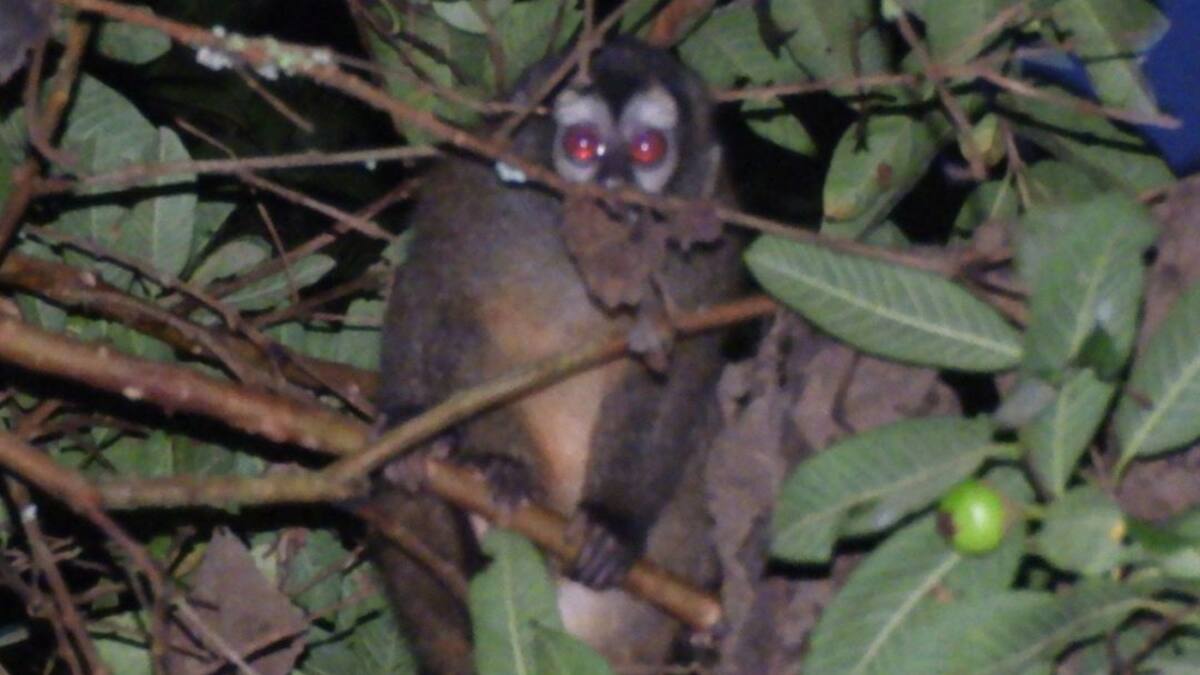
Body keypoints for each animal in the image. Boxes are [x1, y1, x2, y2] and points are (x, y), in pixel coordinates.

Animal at [371, 39, 744, 673]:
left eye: (647, 149)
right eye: (583, 146)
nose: (614, 186)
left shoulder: (709, 242)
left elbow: (680, 371)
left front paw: (613, 524)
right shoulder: (471, 186)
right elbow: (431, 284)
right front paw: (412, 427)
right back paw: (487, 475)